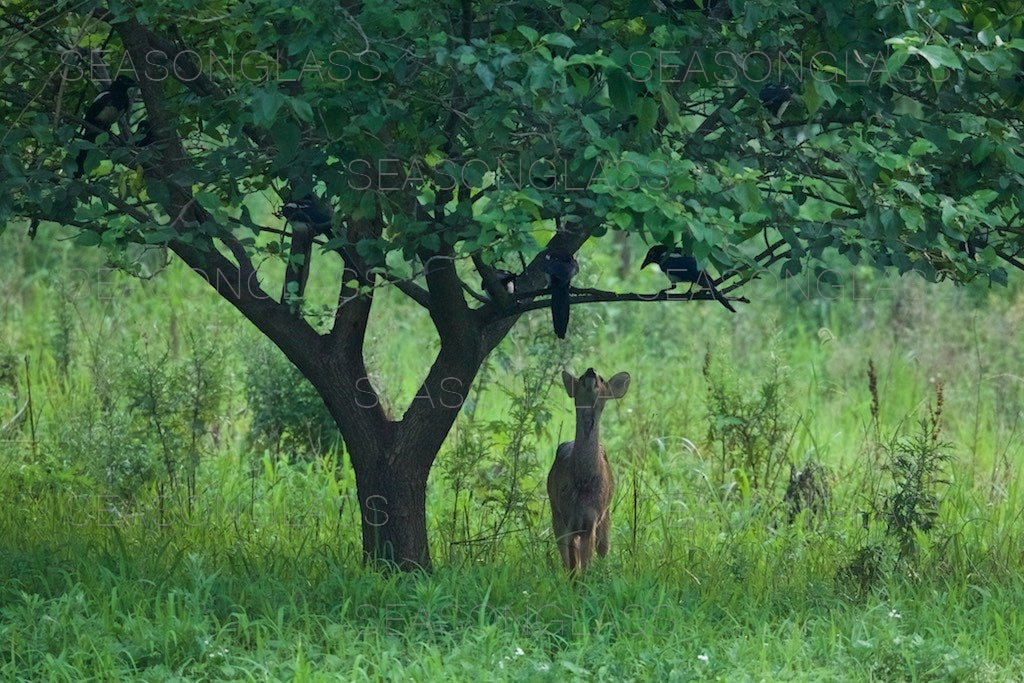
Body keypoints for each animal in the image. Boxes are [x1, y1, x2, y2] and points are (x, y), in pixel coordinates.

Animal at [548, 366, 626, 573]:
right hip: (556, 513)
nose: (591, 371)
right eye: (582, 376)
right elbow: (572, 561)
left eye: (602, 378)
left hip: (606, 515)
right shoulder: (567, 517)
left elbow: (586, 560)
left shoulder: (592, 518)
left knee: (603, 549)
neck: (583, 482)